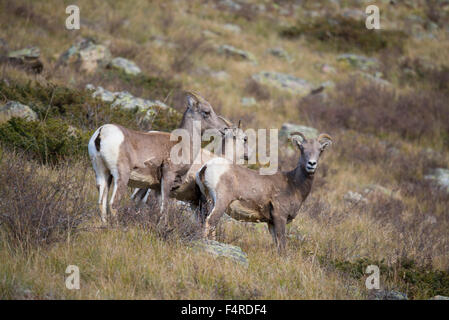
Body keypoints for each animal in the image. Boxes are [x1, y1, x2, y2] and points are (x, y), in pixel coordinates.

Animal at [87, 91, 234, 224]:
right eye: (206, 112)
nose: (225, 128)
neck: (182, 143)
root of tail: (101, 133)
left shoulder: (156, 188)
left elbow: (158, 209)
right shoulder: (168, 178)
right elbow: (164, 209)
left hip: (103, 174)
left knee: (101, 203)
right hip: (121, 176)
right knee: (113, 203)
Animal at [196, 131, 332, 251]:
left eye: (320, 150)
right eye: (302, 148)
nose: (311, 164)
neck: (293, 184)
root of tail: (206, 166)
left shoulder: (271, 223)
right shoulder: (280, 217)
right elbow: (282, 243)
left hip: (210, 202)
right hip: (221, 202)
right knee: (211, 221)